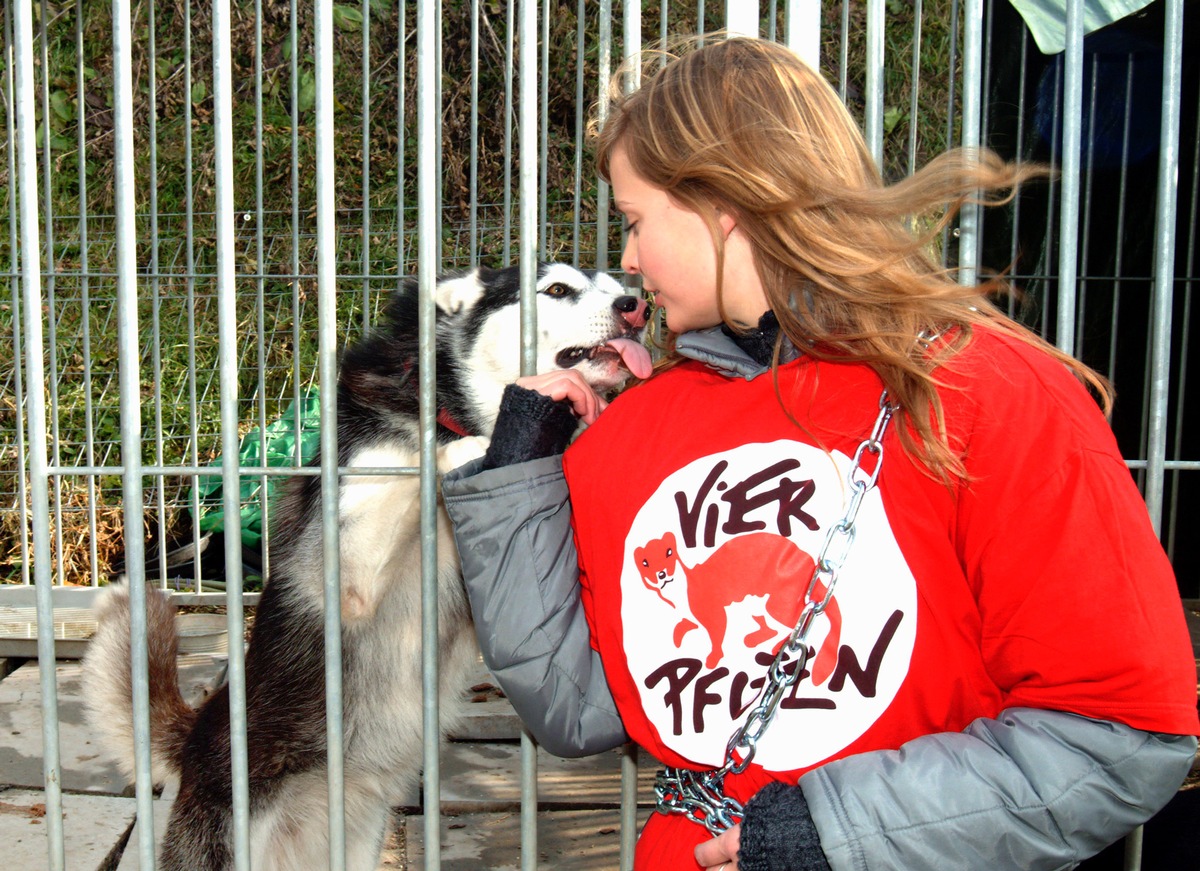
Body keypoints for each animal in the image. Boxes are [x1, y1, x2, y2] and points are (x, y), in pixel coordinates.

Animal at [84, 263, 652, 871]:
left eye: (615, 285)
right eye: (557, 290)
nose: (637, 306)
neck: (443, 404)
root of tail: (193, 743)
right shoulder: (345, 566)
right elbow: (423, 461)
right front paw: (479, 444)